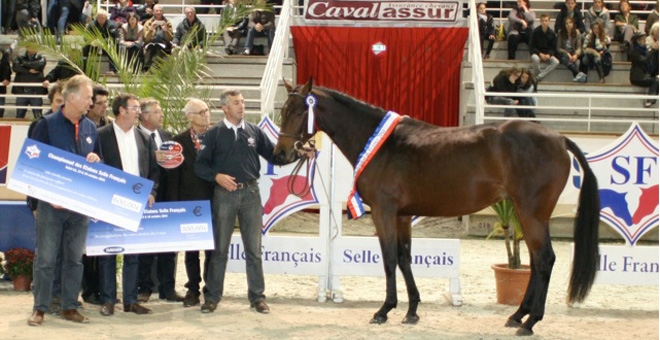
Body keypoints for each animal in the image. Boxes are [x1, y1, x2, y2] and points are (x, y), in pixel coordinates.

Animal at [270, 78, 600, 336]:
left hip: (532, 213)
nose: (281, 154)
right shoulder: (402, 216)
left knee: (544, 260)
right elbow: (405, 259)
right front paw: (411, 311)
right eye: (283, 111)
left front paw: (384, 310)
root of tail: (559, 138)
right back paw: (517, 316)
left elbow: (389, 259)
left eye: (299, 111)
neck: (384, 145)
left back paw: (530, 323)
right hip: (525, 213)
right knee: (534, 260)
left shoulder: (384, 212)